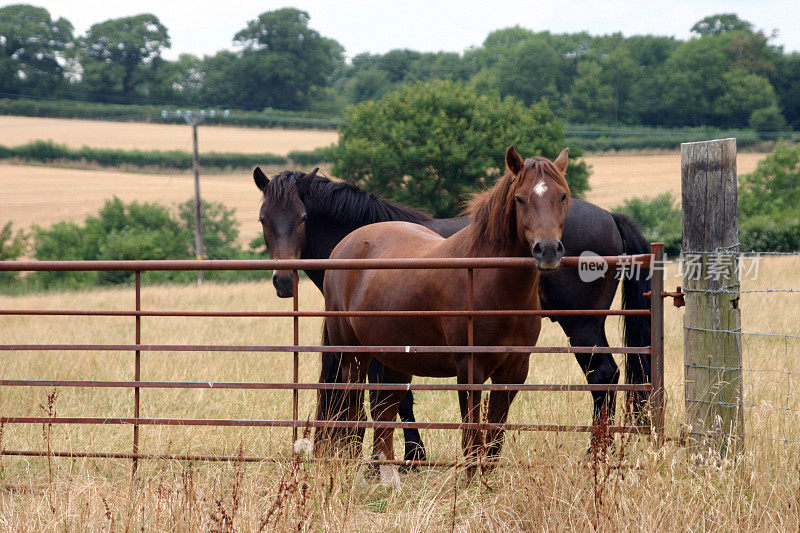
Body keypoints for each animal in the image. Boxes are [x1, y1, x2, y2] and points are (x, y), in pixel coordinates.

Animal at [322, 147, 572, 482]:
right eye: (520, 198)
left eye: (562, 196)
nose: (548, 251)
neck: (489, 283)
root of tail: (345, 245)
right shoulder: (470, 369)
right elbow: (471, 436)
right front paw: (471, 486)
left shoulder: (514, 370)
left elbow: (494, 437)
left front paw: (487, 485)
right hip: (352, 356)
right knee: (354, 415)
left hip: (395, 360)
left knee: (383, 413)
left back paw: (390, 481)